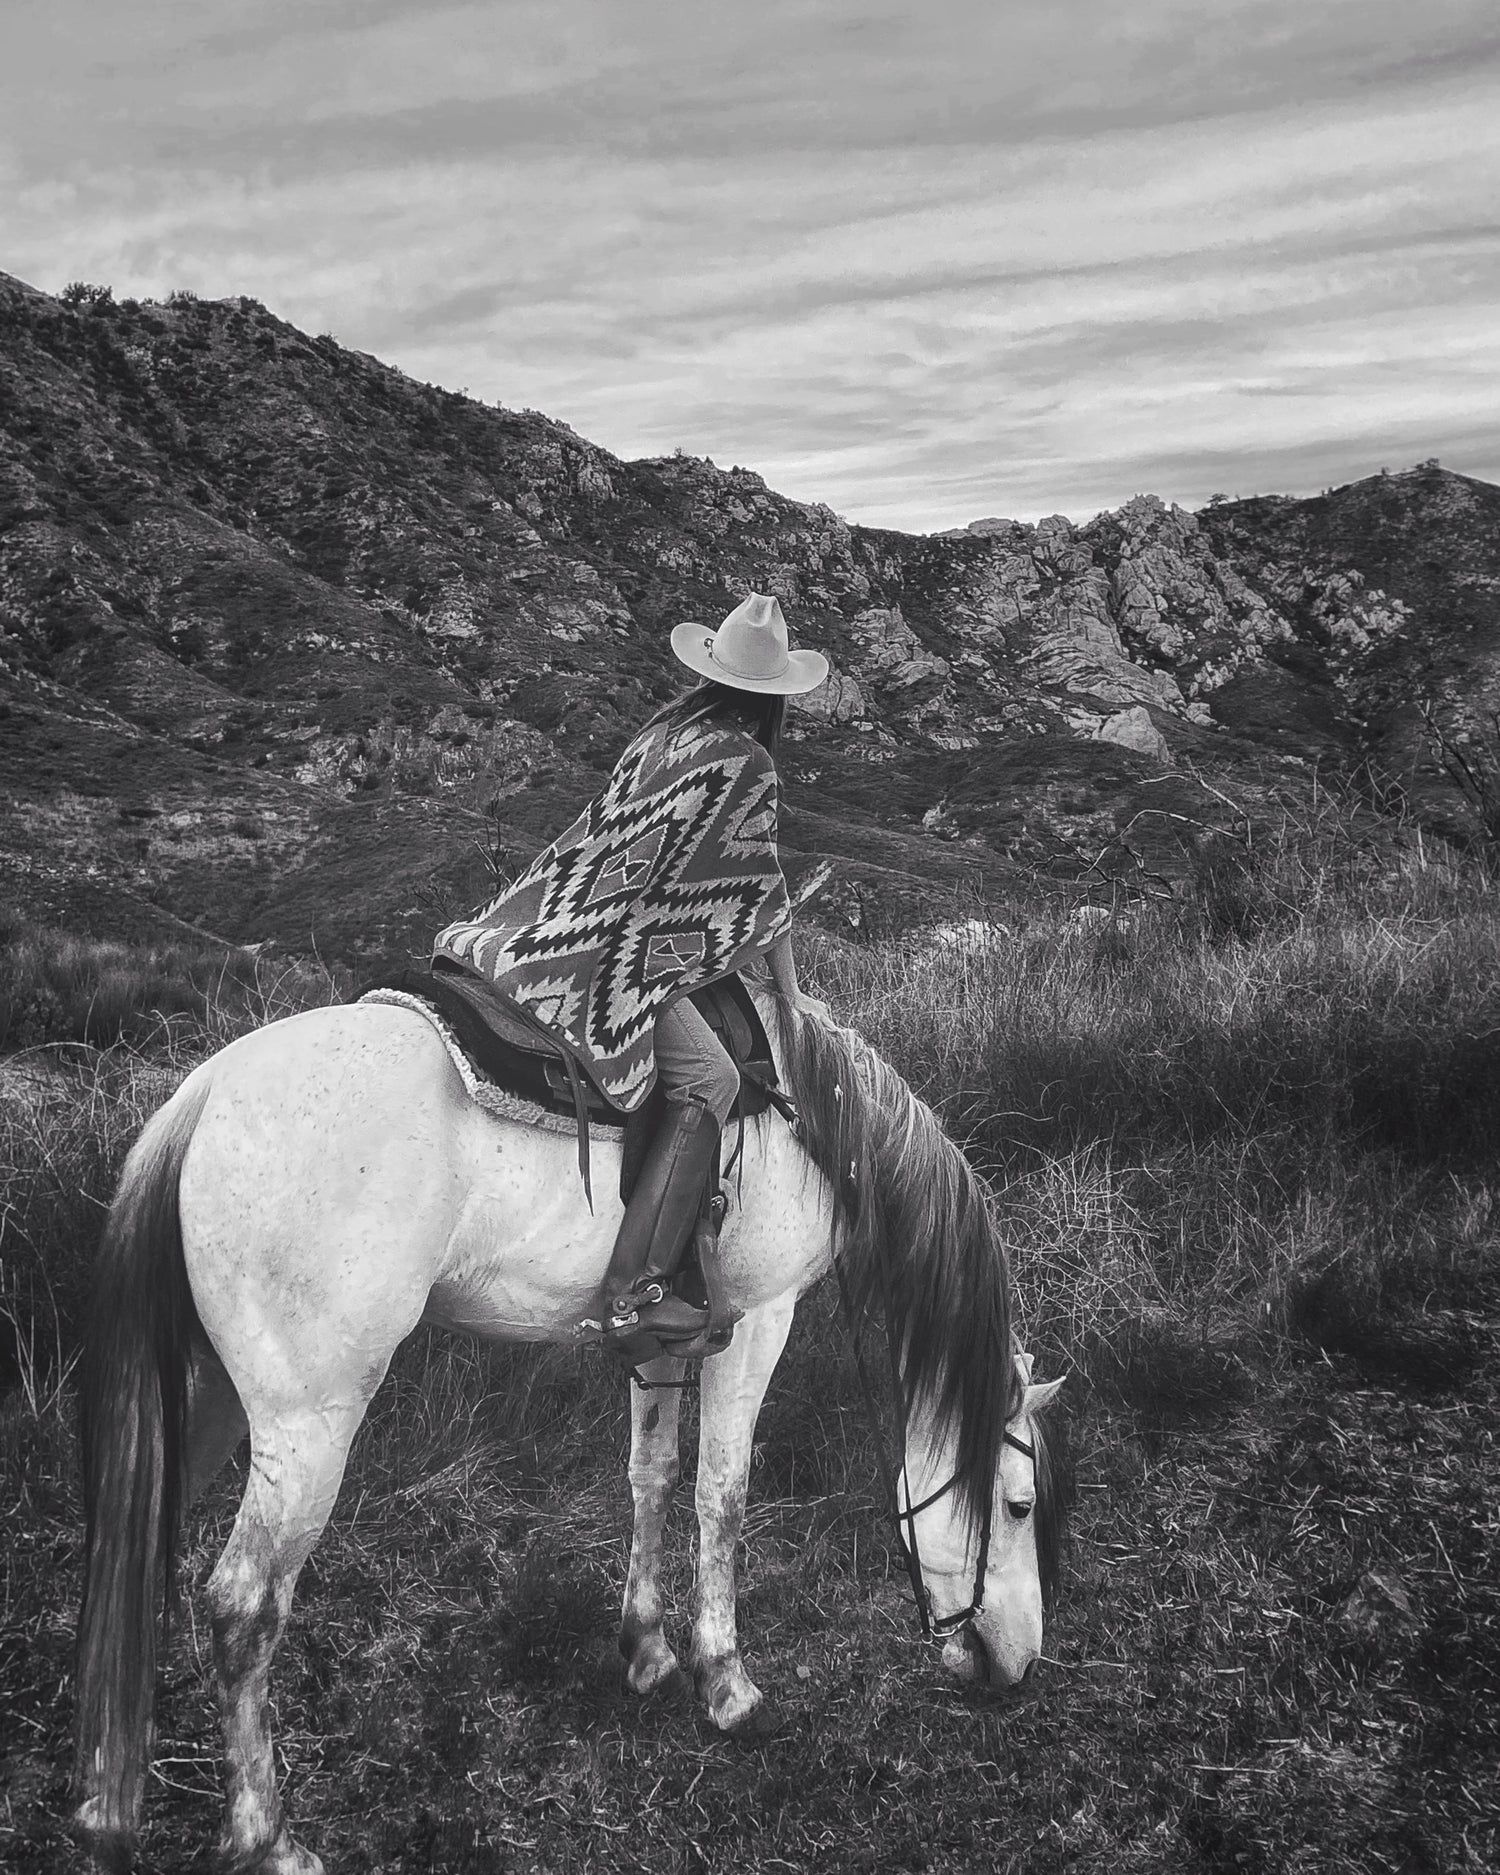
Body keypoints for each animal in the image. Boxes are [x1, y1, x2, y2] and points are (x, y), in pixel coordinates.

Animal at [73, 990, 1065, 1867]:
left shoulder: (668, 1337)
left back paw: (107, 1790)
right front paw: (727, 1682)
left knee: (136, 1537)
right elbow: (723, 1494)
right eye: (1017, 1505)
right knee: (244, 1606)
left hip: (203, 1396)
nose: (1018, 1664)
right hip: (307, 1425)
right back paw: (267, 1838)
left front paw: (648, 1646)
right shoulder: (761, 1318)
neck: (811, 1114)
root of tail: (205, 1094)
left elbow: (653, 1473)